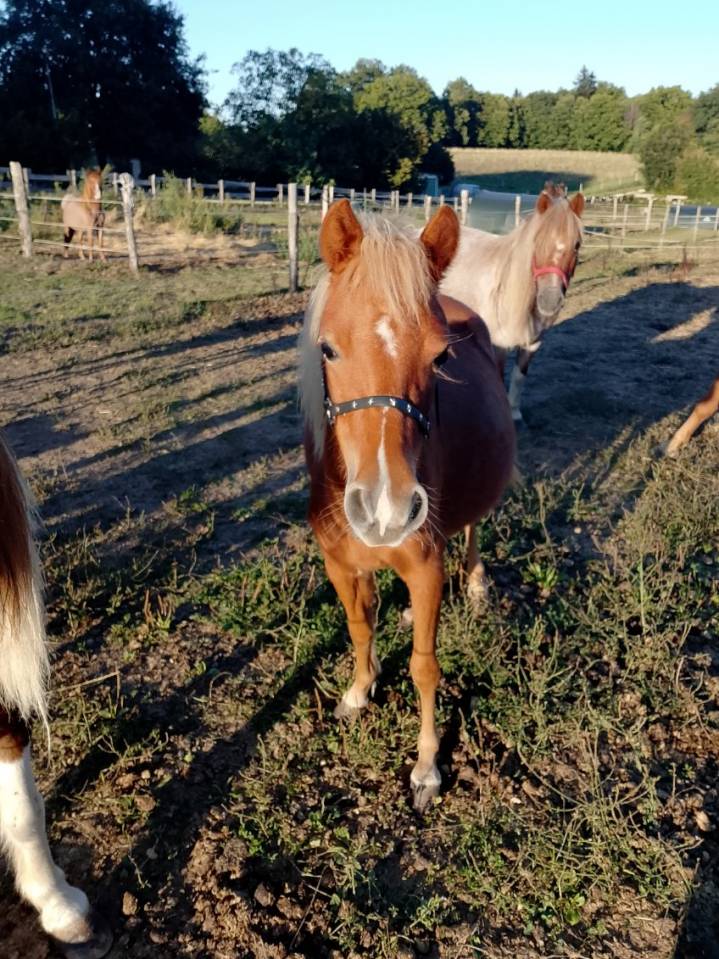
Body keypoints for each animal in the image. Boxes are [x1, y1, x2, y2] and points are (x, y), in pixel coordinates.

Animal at [299, 200, 515, 810]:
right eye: (328, 348)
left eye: (440, 357)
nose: (386, 508)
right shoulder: (341, 565)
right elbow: (358, 628)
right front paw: (357, 690)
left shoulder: (425, 568)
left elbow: (424, 667)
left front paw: (426, 767)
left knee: (474, 528)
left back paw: (476, 583)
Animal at [440, 182, 585, 423]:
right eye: (537, 241)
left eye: (577, 245)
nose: (550, 300)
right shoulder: (498, 344)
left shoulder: (533, 343)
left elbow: (519, 376)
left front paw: (515, 412)